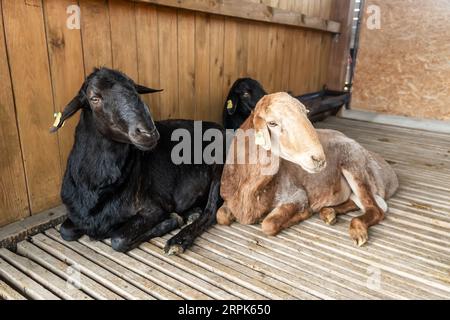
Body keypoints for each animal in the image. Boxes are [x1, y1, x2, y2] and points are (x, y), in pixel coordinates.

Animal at [52, 68, 223, 255]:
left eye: (136, 90)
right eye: (94, 98)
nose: (149, 132)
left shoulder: (154, 207)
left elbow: (118, 239)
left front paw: (171, 220)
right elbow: (65, 231)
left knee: (211, 211)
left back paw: (178, 240)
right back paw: (192, 212)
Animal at [218, 91, 398, 246]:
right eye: (272, 123)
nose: (318, 159)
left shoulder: (298, 196)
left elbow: (269, 224)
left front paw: (302, 214)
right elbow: (221, 217)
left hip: (355, 166)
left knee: (375, 210)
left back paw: (357, 231)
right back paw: (329, 213)